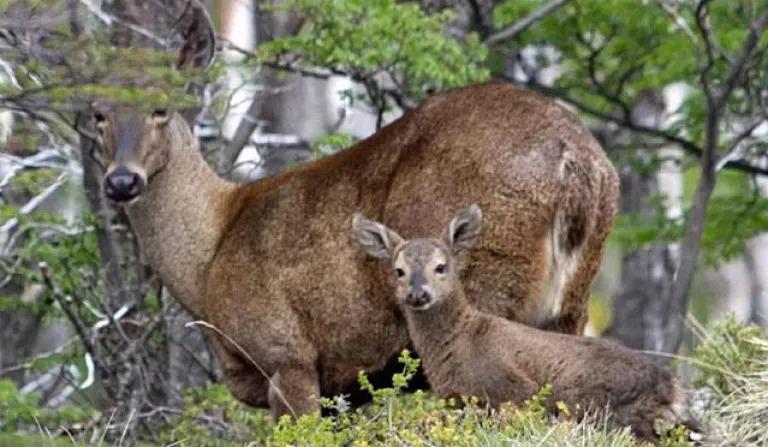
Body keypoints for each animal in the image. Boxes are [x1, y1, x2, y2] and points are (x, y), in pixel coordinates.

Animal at [91, 2, 616, 420]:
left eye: (161, 107)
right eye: (96, 112)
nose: (121, 181)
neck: (208, 258)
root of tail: (579, 161)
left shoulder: (287, 353)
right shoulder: (339, 388)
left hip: (483, 287)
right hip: (571, 301)